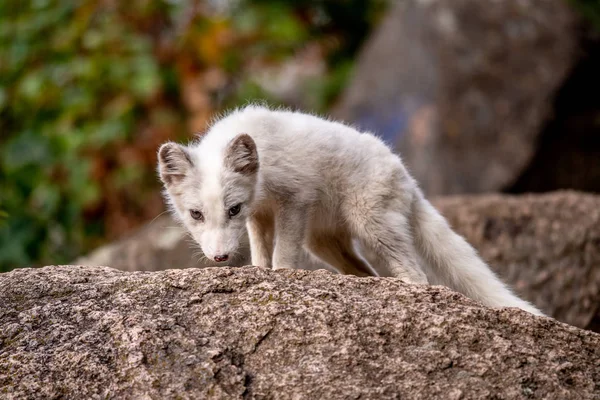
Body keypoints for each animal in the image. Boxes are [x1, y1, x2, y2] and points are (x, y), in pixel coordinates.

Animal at [158, 105, 544, 316]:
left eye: (233, 209)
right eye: (196, 215)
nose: (221, 258)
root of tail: (407, 176)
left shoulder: (295, 200)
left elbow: (283, 253)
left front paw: (280, 277)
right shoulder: (260, 214)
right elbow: (260, 251)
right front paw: (258, 271)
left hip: (371, 224)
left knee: (416, 274)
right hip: (324, 243)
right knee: (365, 272)